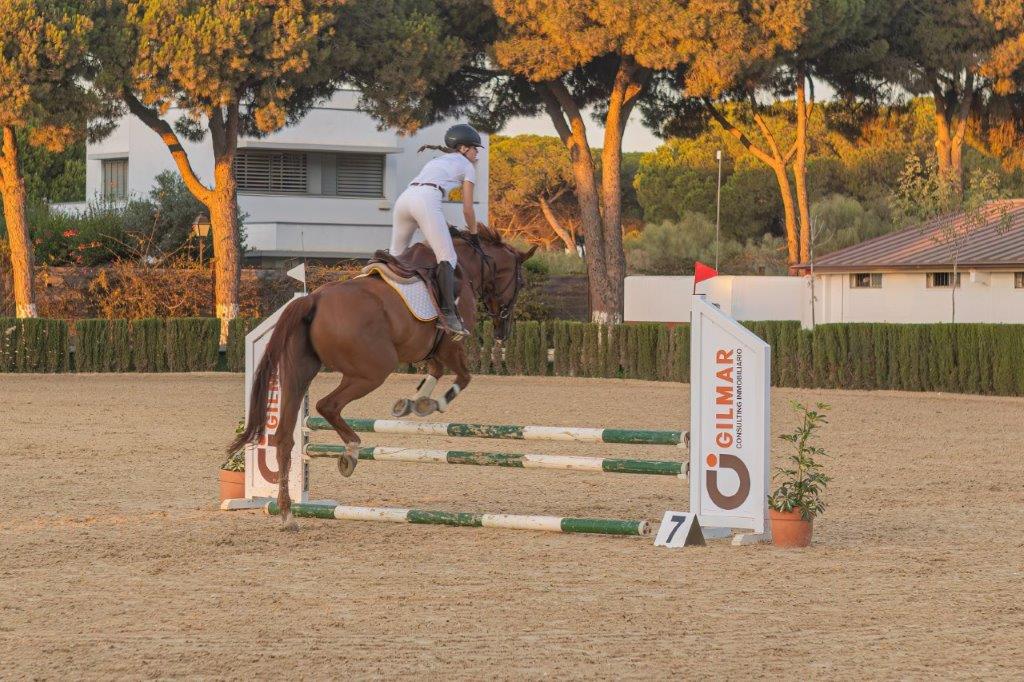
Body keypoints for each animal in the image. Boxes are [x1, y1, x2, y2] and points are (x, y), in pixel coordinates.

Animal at [230, 225, 536, 528]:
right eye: (520, 283)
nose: (503, 331)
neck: (467, 268)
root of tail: (312, 299)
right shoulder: (450, 344)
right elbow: (463, 377)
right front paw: (431, 404)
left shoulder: (428, 348)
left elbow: (435, 371)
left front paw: (413, 403)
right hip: (374, 370)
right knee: (327, 406)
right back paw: (350, 453)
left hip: (299, 373)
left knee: (284, 437)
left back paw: (287, 513)